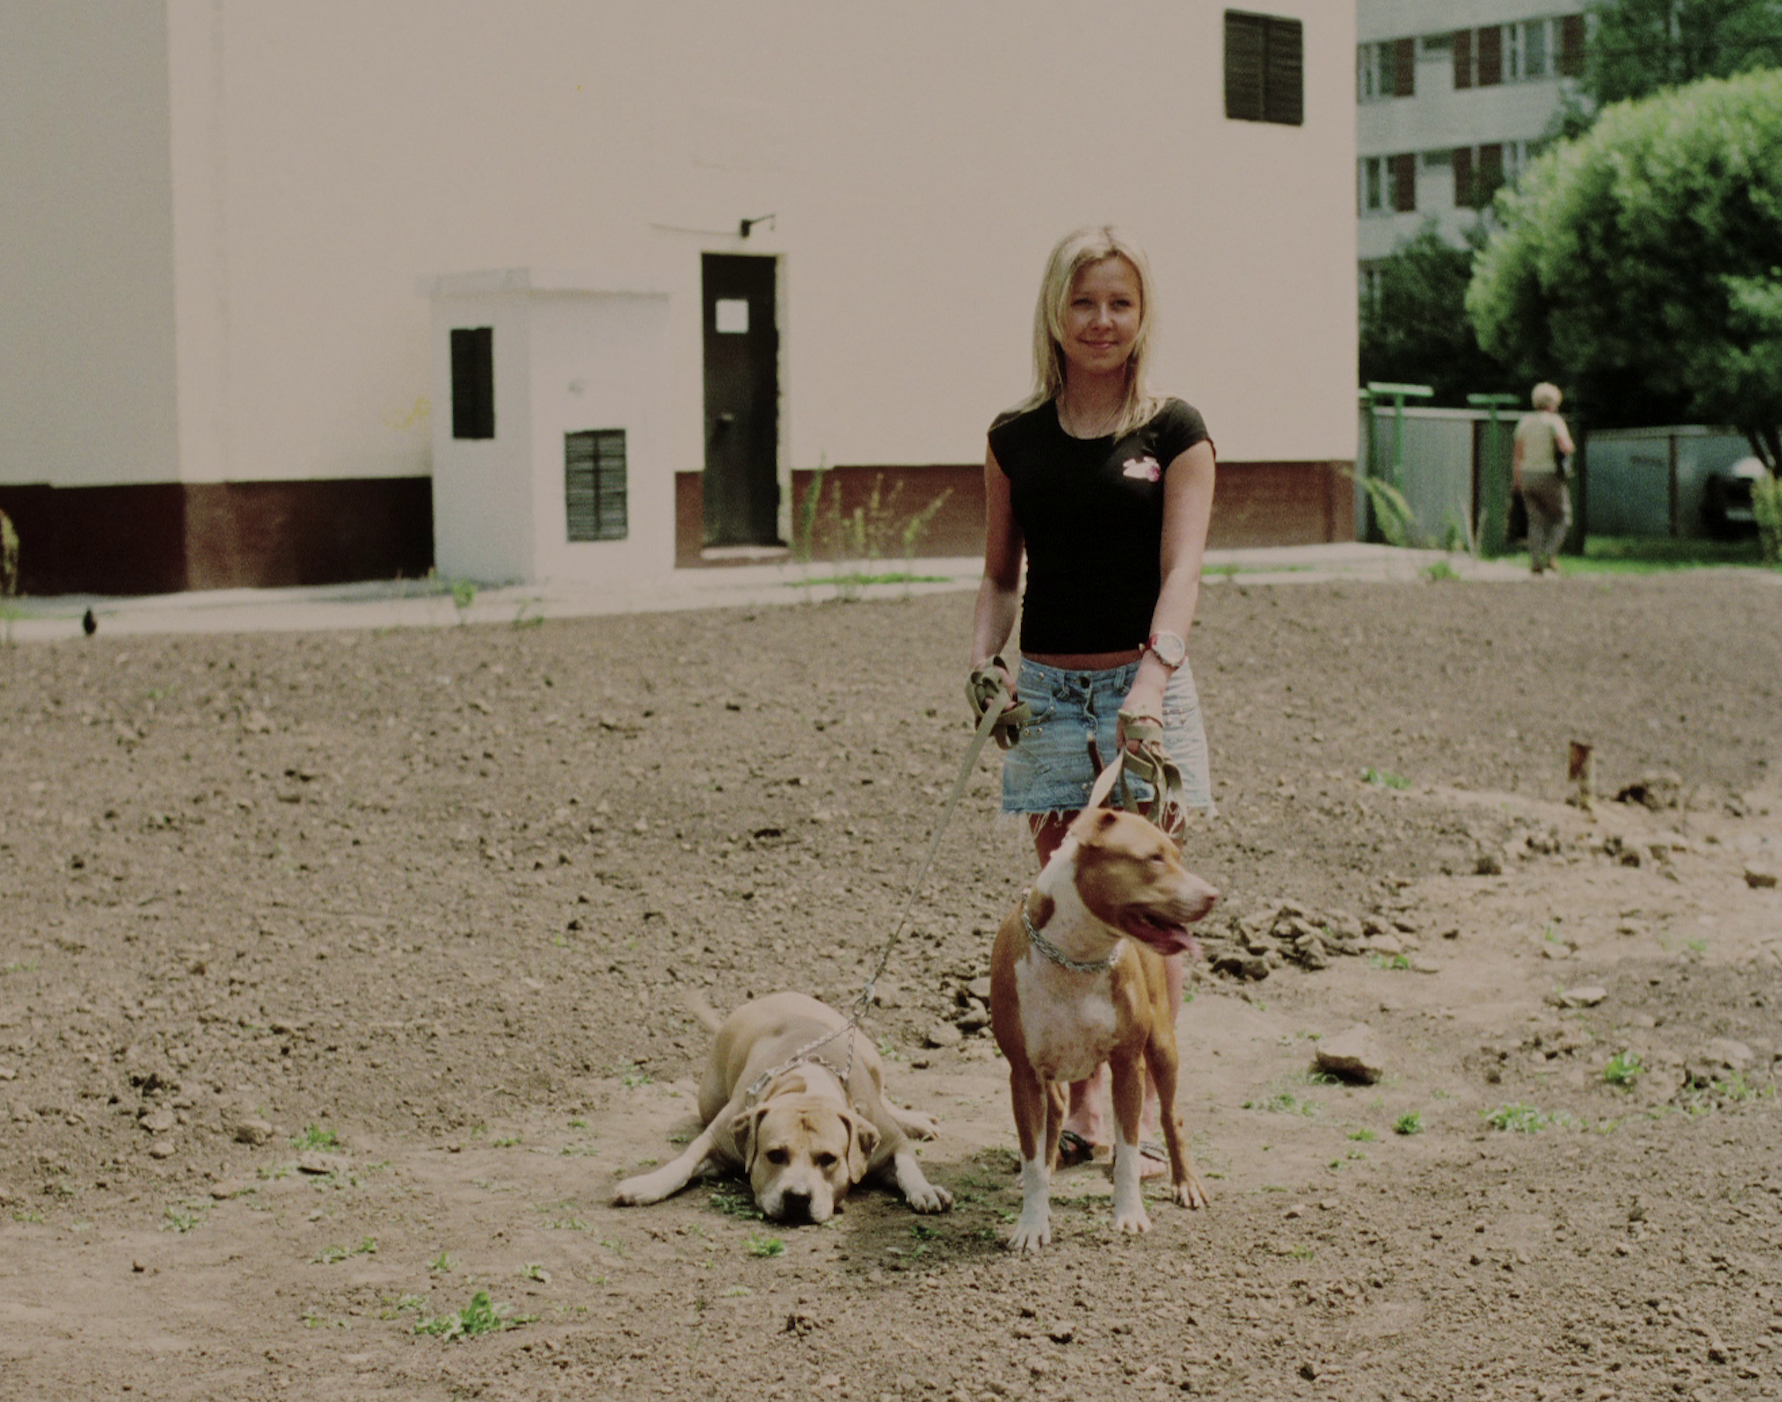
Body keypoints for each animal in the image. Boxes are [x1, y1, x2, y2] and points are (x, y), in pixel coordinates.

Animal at [612, 992, 953, 1224]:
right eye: (774, 1155)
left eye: (828, 1159)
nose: (798, 1197)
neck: (808, 1088)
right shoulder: (716, 1138)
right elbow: (681, 1163)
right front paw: (646, 1185)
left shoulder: (891, 1141)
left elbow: (907, 1166)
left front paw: (925, 1189)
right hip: (708, 1098)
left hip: (870, 1054)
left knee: (884, 1095)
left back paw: (915, 1120)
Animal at [989, 806, 1219, 1251]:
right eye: (1153, 859)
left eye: (1175, 855)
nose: (1214, 894)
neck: (1076, 955)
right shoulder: (1023, 1075)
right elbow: (1032, 1158)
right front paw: (1031, 1224)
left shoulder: (1128, 1064)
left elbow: (1127, 1151)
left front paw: (1129, 1214)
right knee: (1055, 1118)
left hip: (1162, 1045)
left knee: (1171, 1116)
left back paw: (1185, 1182)